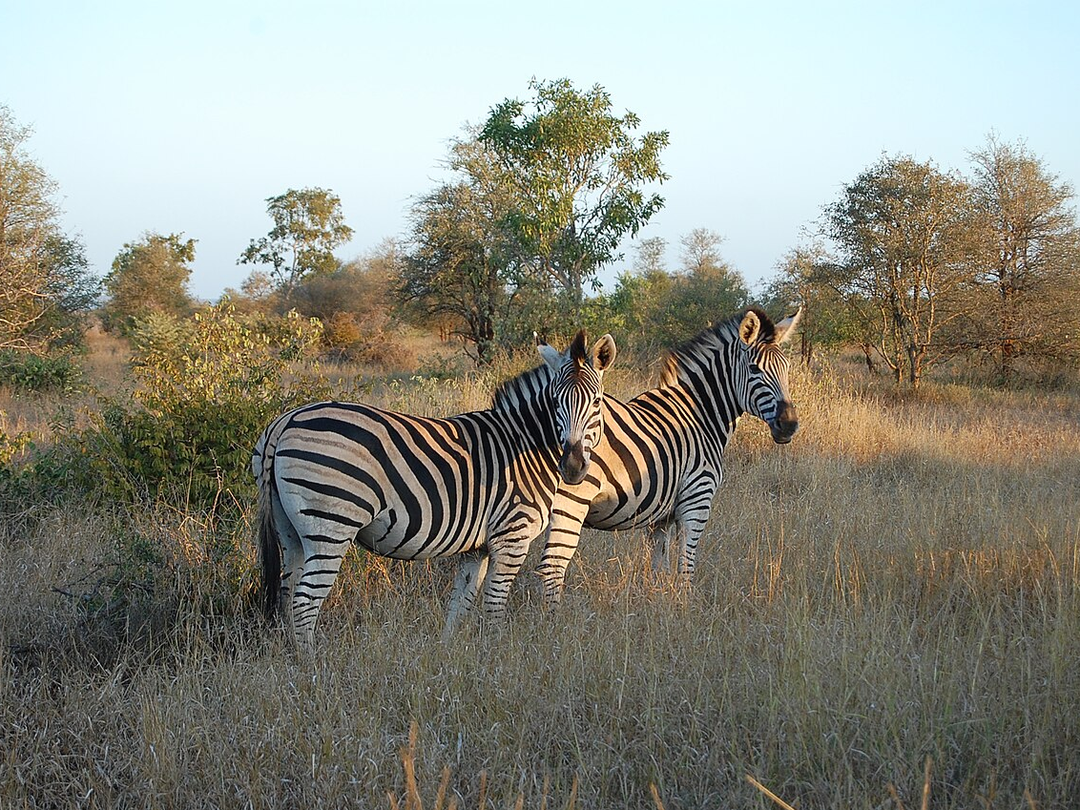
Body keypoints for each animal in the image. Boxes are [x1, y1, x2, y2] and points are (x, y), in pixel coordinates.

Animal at [252, 330, 616, 648]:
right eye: (555, 402)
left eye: (596, 402)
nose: (572, 467)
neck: (523, 443)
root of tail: (285, 421)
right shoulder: (512, 536)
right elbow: (494, 606)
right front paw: (497, 654)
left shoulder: (477, 548)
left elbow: (460, 604)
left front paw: (450, 653)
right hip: (330, 525)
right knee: (304, 602)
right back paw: (311, 667)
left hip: (290, 530)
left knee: (287, 592)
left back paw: (290, 658)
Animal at [535, 307, 801, 605]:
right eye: (755, 369)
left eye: (787, 369)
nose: (789, 425)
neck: (700, 415)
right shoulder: (696, 501)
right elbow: (686, 566)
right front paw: (685, 608)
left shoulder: (660, 516)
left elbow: (658, 568)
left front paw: (658, 604)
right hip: (571, 502)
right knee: (552, 567)